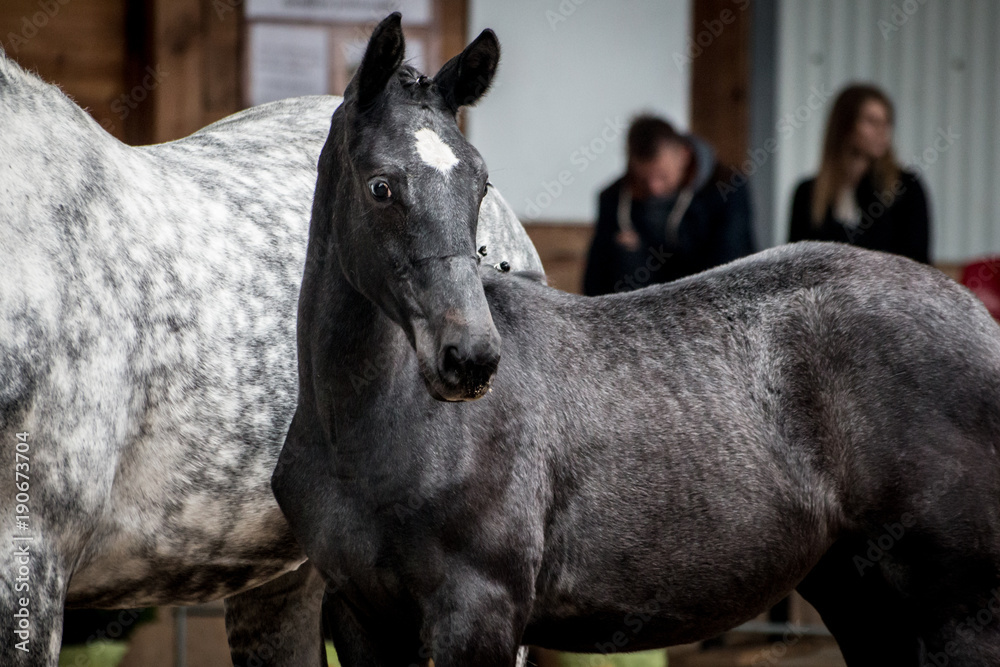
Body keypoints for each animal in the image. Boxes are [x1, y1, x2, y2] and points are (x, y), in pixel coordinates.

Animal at [272, 13, 1000, 667]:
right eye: (381, 186)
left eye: (479, 183)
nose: (470, 358)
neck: (364, 429)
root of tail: (980, 321)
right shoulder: (360, 618)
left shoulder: (477, 613)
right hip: (861, 596)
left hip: (957, 614)